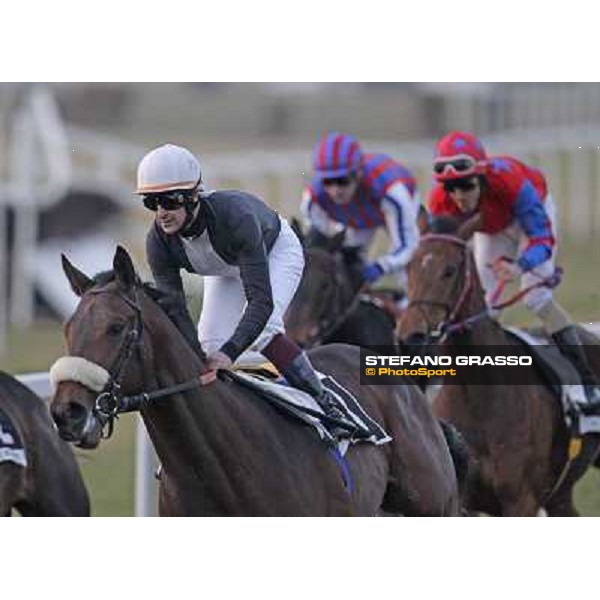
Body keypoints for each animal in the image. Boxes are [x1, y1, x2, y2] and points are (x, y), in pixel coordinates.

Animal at [398, 227, 600, 512]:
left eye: (449, 270)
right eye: (409, 267)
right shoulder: (464, 501)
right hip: (560, 495)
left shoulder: (521, 501)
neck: (478, 398)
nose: (410, 336)